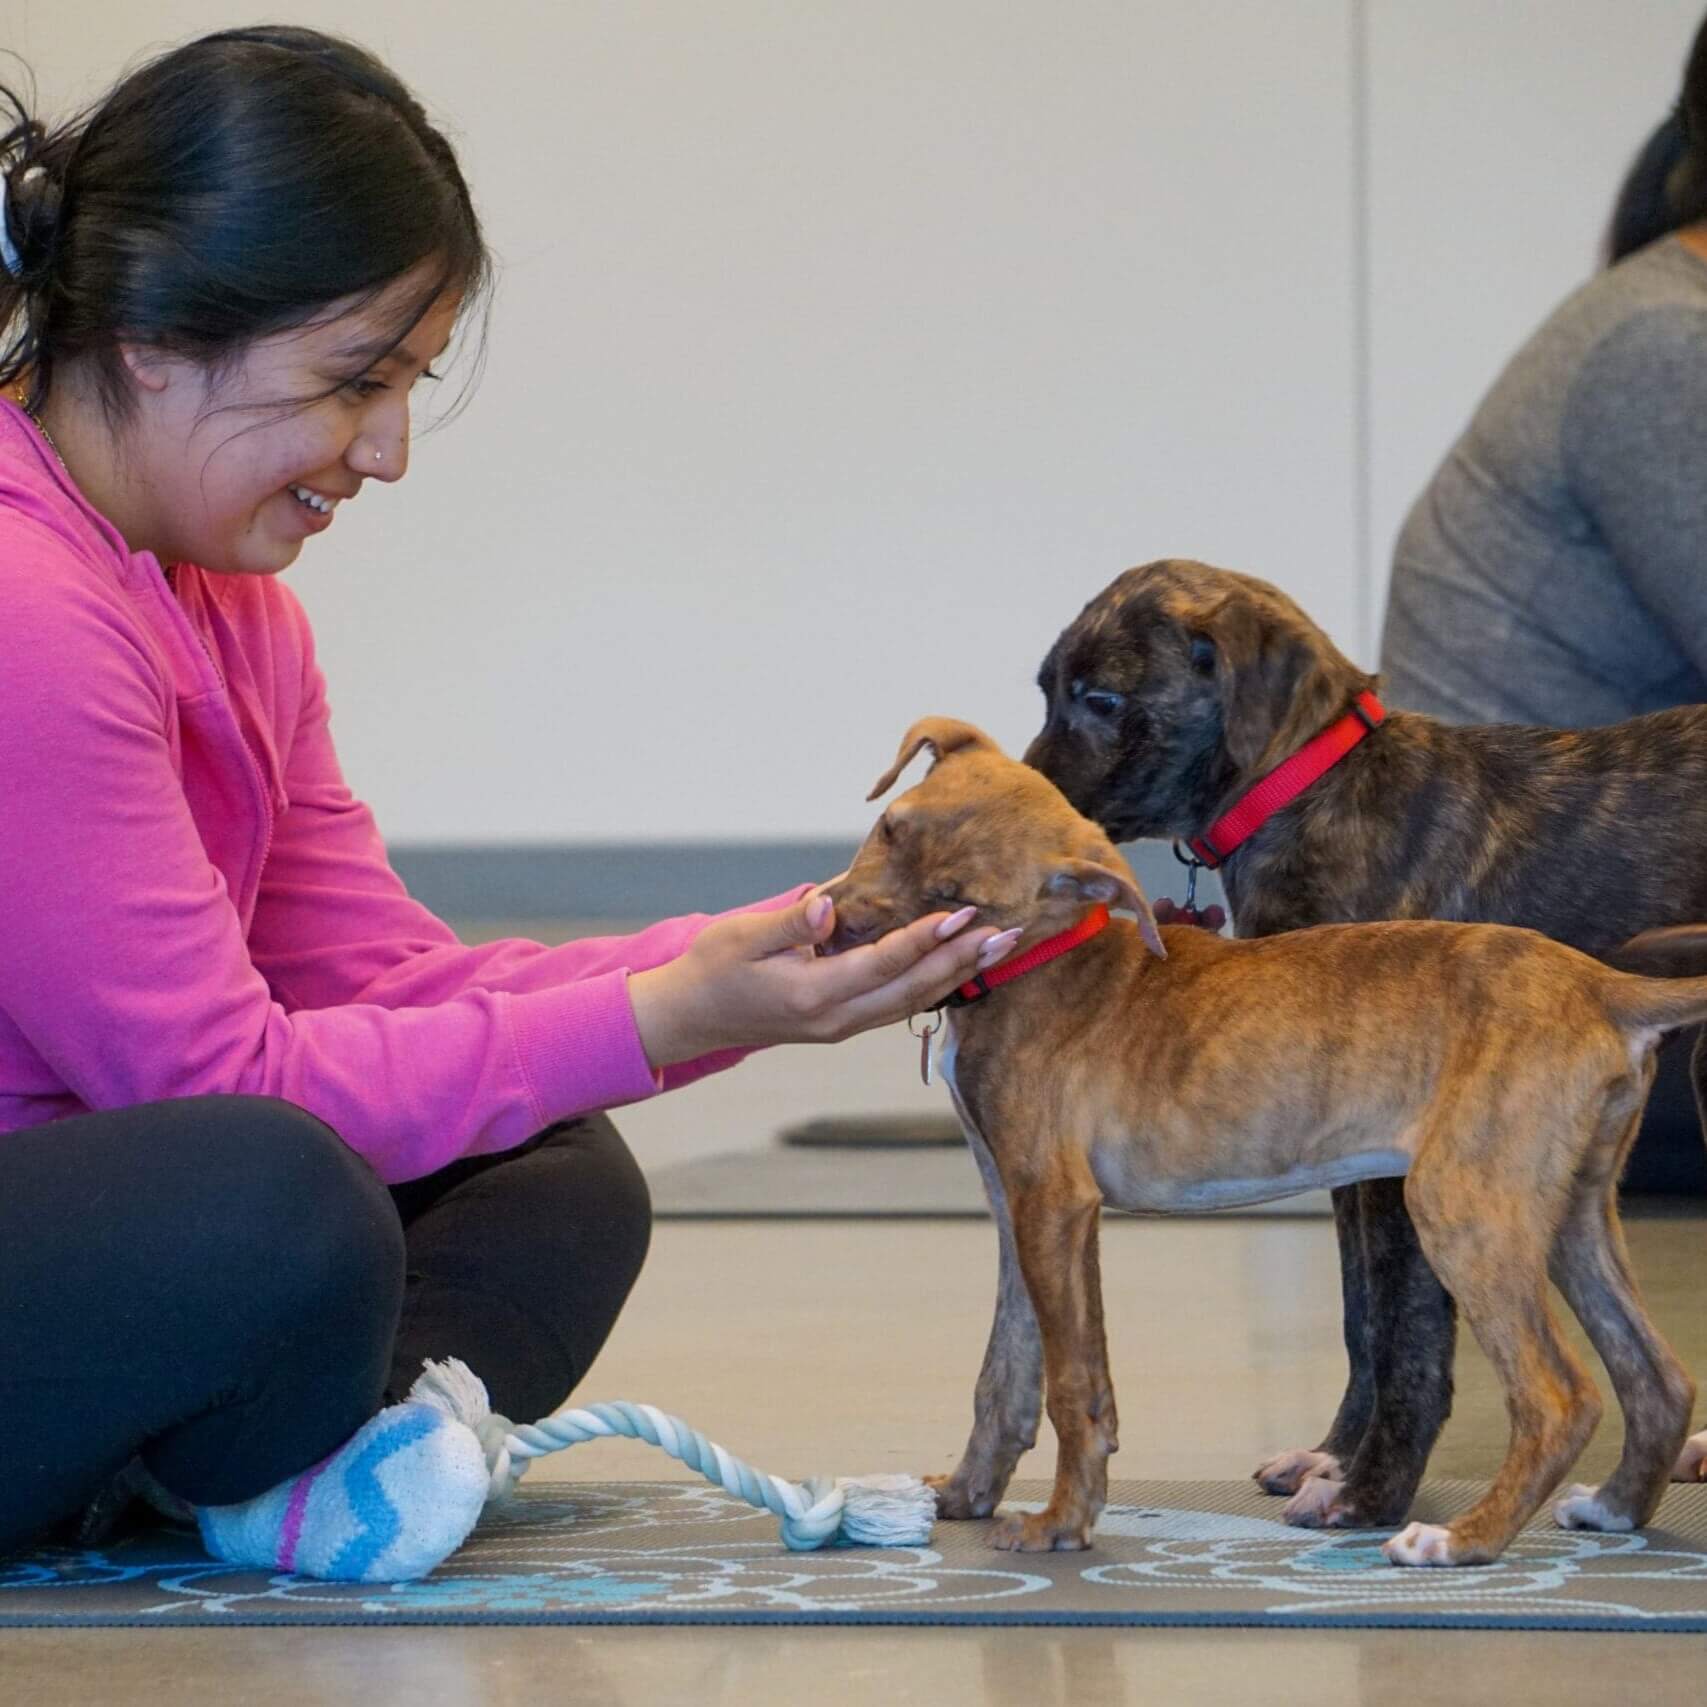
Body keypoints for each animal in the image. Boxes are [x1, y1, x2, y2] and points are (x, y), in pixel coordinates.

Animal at [1017, 559, 1707, 1536]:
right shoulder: (1341, 1149)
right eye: (1046, 690)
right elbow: (1359, 1316)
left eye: (1101, 698)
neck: (1312, 787)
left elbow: (1404, 1326)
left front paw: (1373, 1489)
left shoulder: (1391, 1168)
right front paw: (1334, 1454)